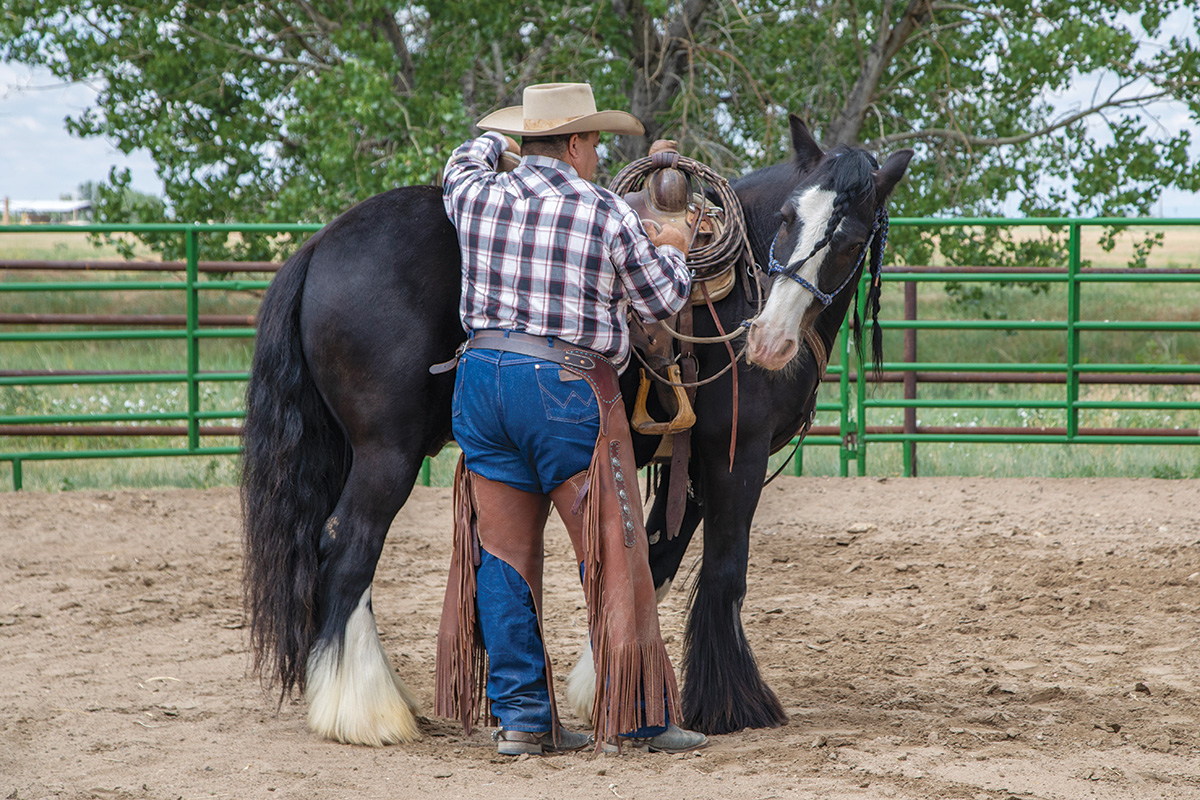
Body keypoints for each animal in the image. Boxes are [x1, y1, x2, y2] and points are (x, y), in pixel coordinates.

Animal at [238, 115, 907, 748]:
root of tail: (320, 245)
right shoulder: (734, 457)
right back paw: (365, 711)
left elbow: (656, 561)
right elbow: (723, 569)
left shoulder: (689, 464)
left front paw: (606, 688)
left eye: (849, 241)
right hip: (387, 455)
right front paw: (730, 707)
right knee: (348, 548)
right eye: (791, 217)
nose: (768, 342)